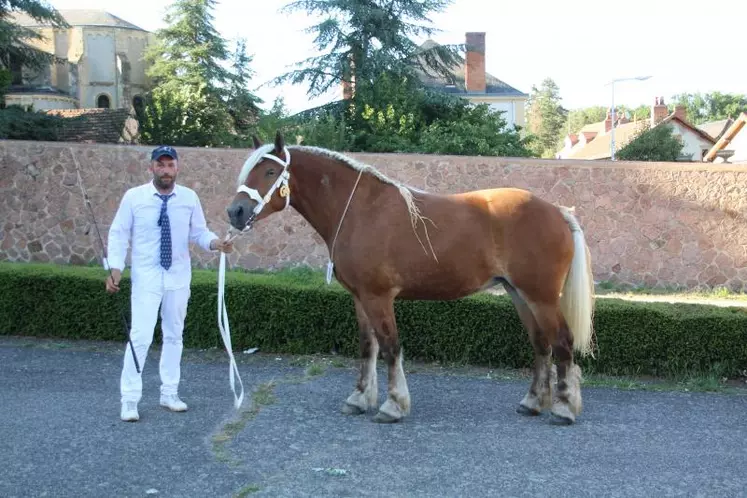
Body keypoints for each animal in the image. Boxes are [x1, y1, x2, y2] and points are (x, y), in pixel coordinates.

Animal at [228, 131, 596, 424]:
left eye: (271, 171)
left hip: (541, 297)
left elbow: (390, 347)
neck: (360, 210)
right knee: (541, 344)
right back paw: (532, 402)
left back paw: (564, 409)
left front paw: (393, 405)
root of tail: (559, 212)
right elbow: (367, 347)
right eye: (249, 170)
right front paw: (359, 398)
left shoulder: (379, 297)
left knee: (562, 342)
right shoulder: (360, 297)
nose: (235, 212)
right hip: (519, 294)